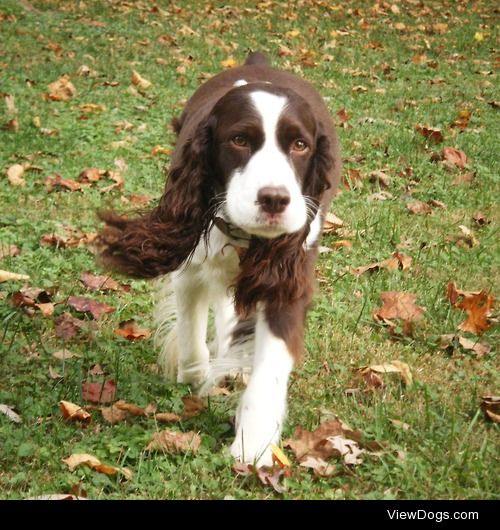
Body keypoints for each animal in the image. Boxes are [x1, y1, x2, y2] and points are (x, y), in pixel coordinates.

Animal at [97, 51, 340, 464]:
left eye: (300, 145)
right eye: (239, 140)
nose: (274, 199)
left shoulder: (288, 273)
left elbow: (271, 364)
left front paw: (253, 446)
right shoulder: (192, 265)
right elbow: (192, 334)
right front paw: (195, 379)